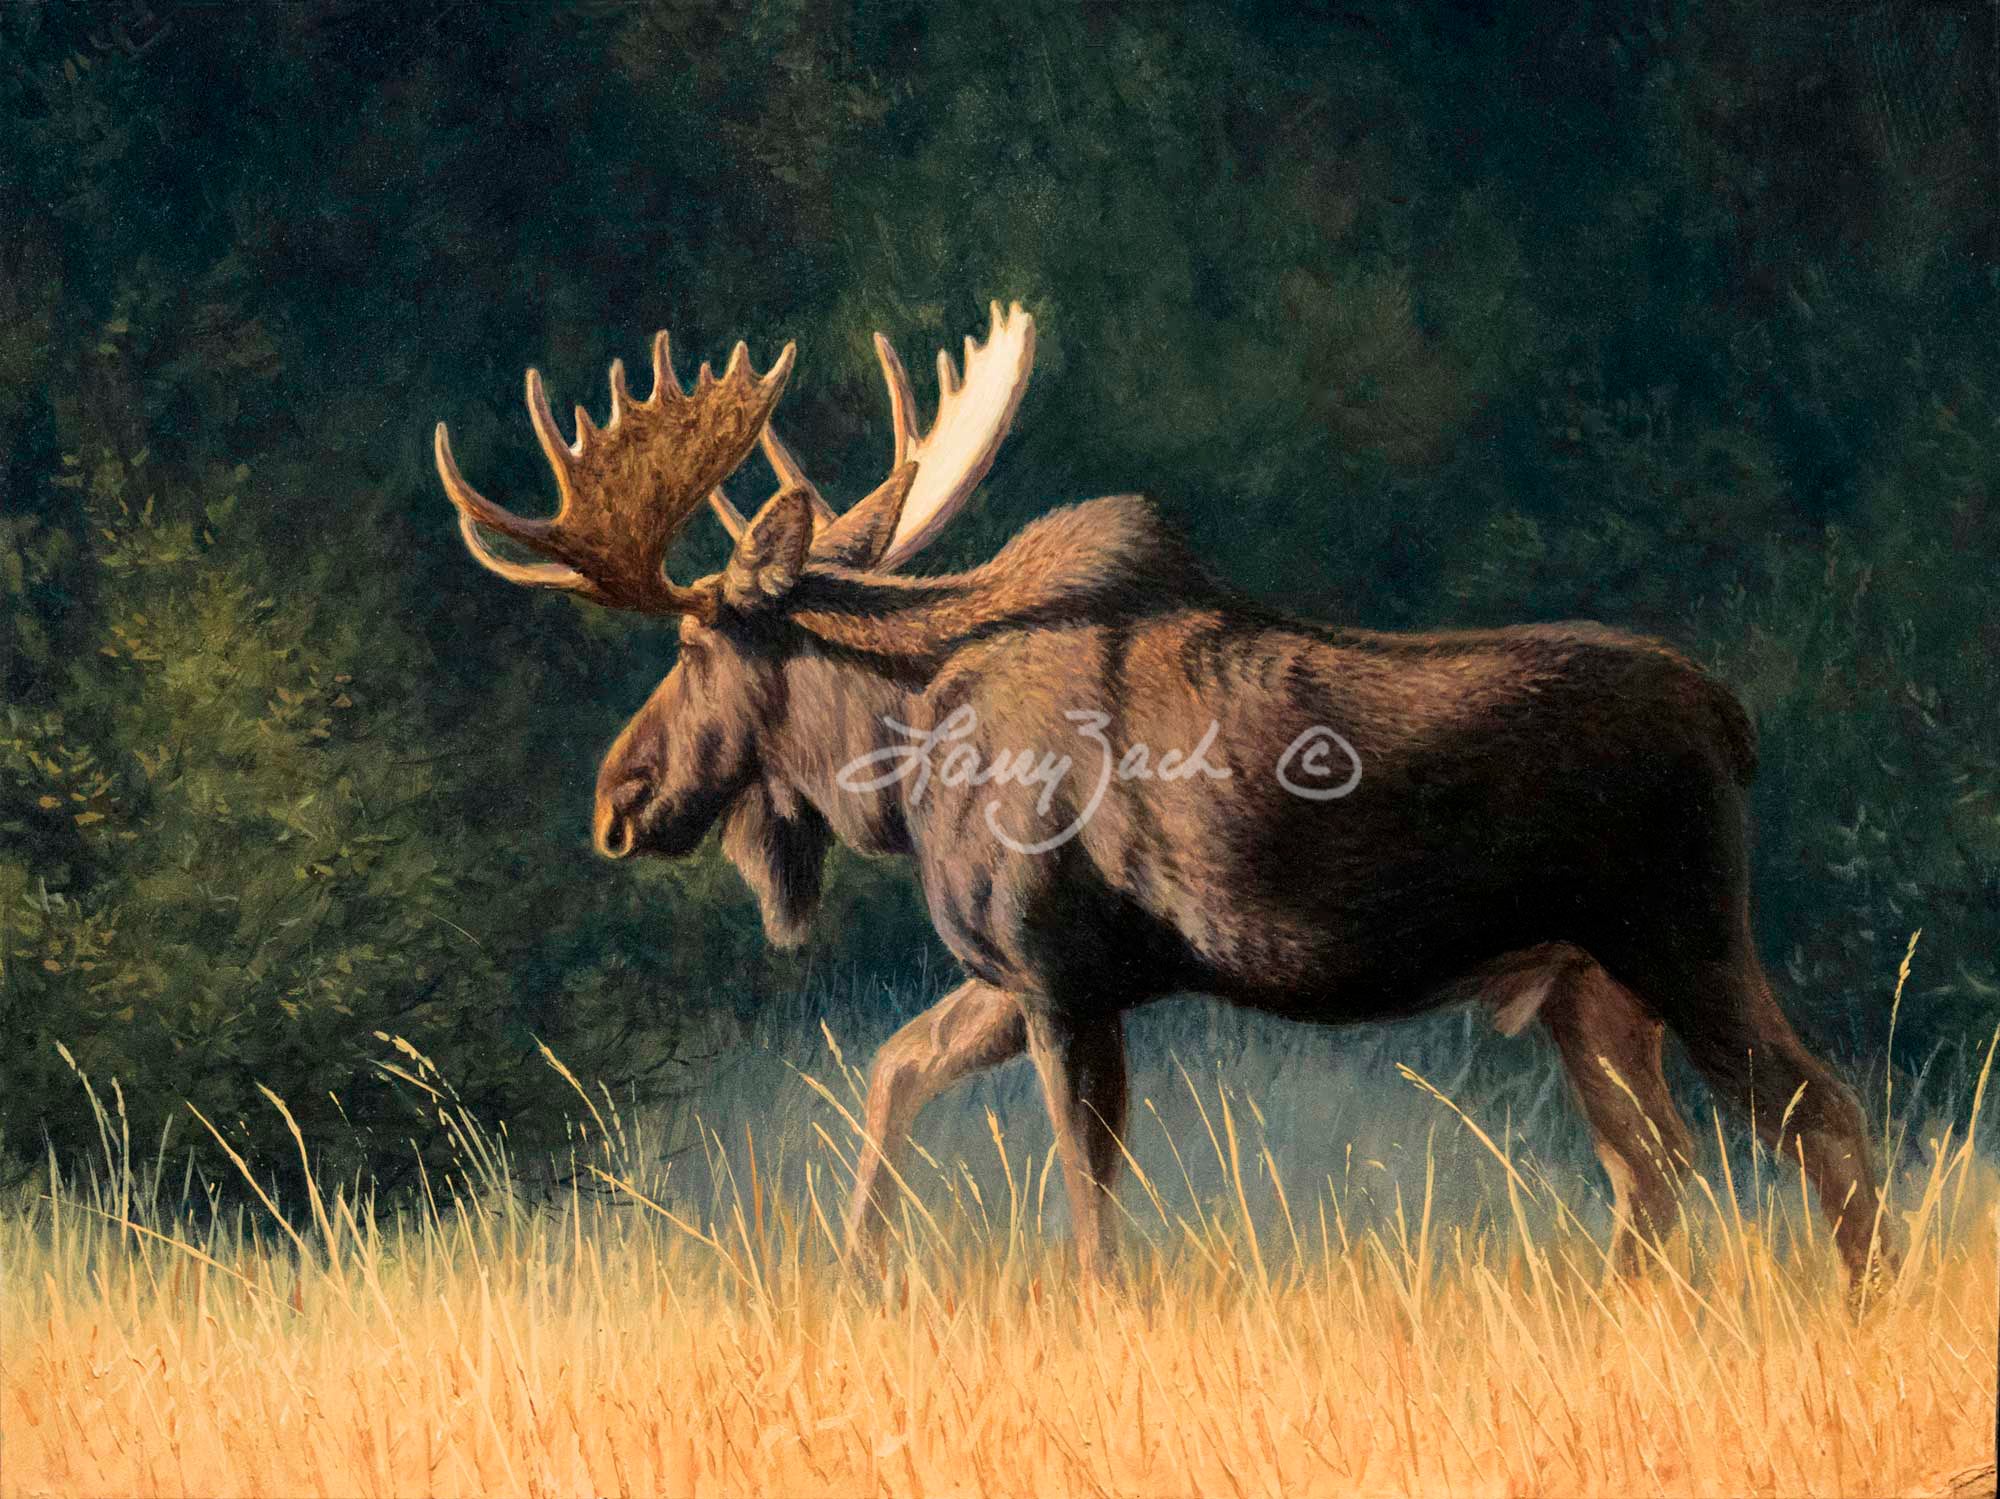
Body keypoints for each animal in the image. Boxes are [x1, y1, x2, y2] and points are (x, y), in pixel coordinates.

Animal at [435, 302, 1890, 1288]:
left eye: (690, 645)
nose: (616, 800)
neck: (898, 763)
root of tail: (1732, 721)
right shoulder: (1026, 973)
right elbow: (895, 1068)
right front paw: (858, 1272)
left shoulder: (1059, 968)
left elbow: (1088, 1210)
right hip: (1585, 986)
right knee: (1658, 1175)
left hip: (1680, 935)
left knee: (1825, 1116)